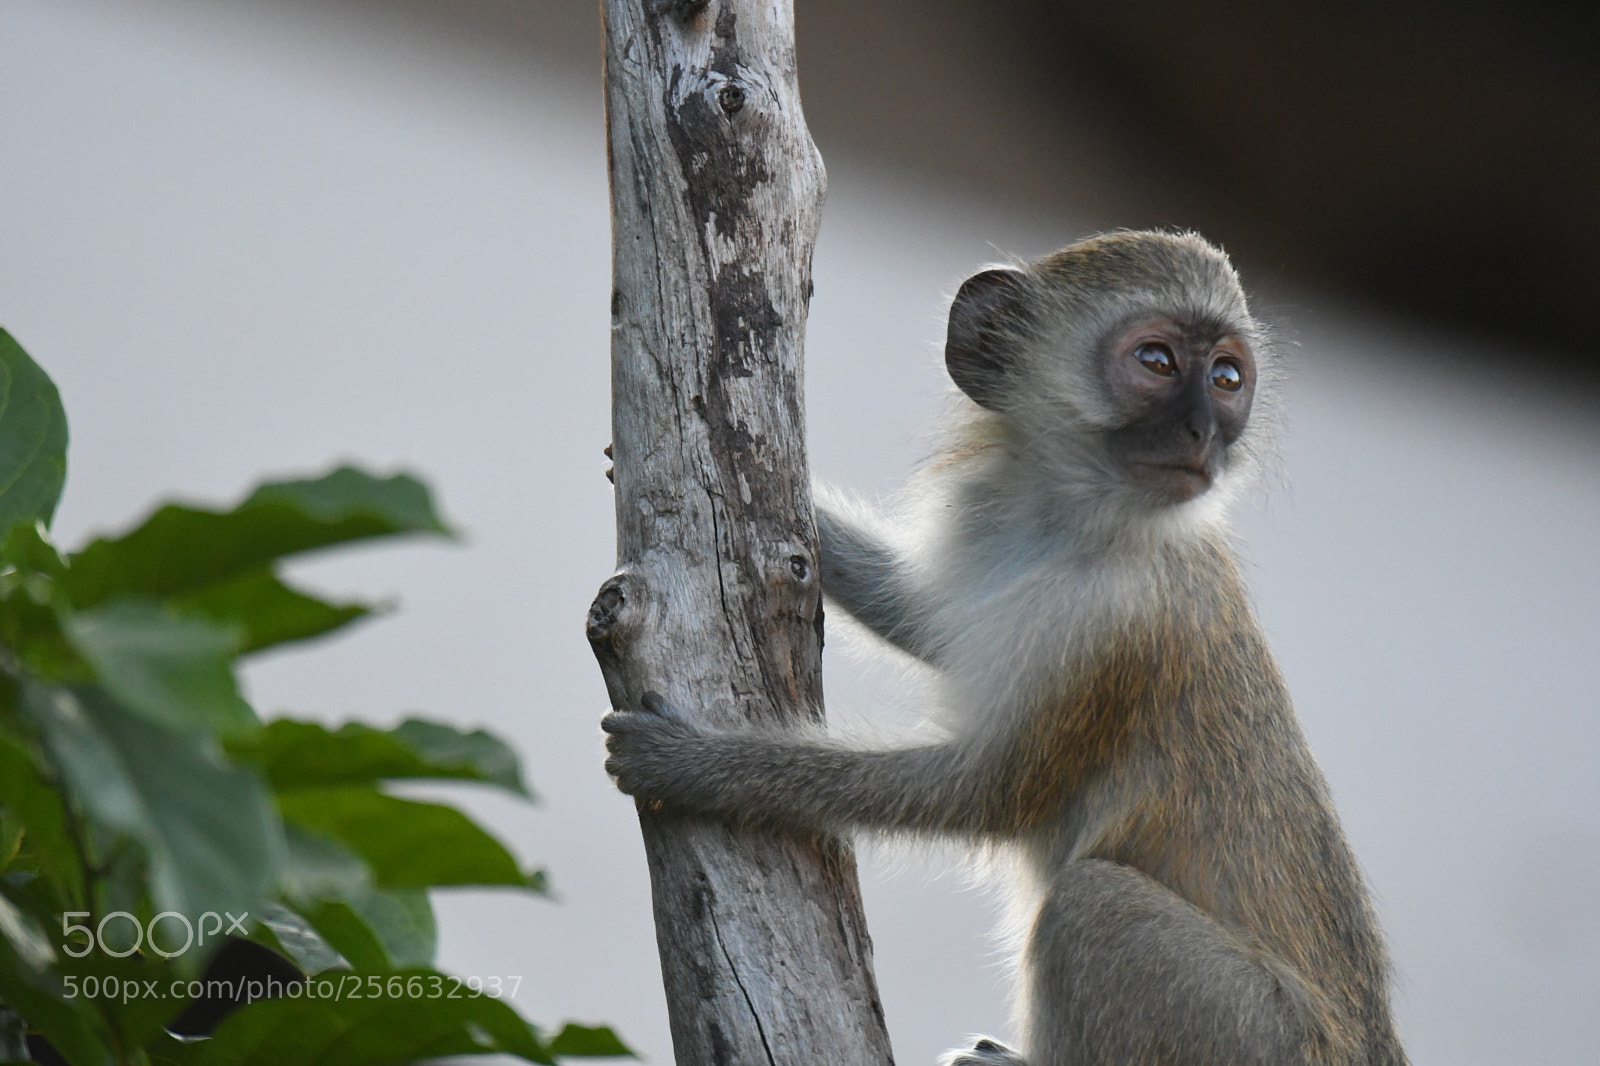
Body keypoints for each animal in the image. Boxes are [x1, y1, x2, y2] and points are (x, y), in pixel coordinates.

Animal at [601, 230, 1409, 1066]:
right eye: (1157, 361)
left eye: (1224, 379)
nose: (1204, 433)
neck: (1074, 519)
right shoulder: (988, 522)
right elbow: (925, 618)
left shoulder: (1114, 623)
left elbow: (981, 790)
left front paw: (697, 766)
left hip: (1253, 1034)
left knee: (1090, 902)